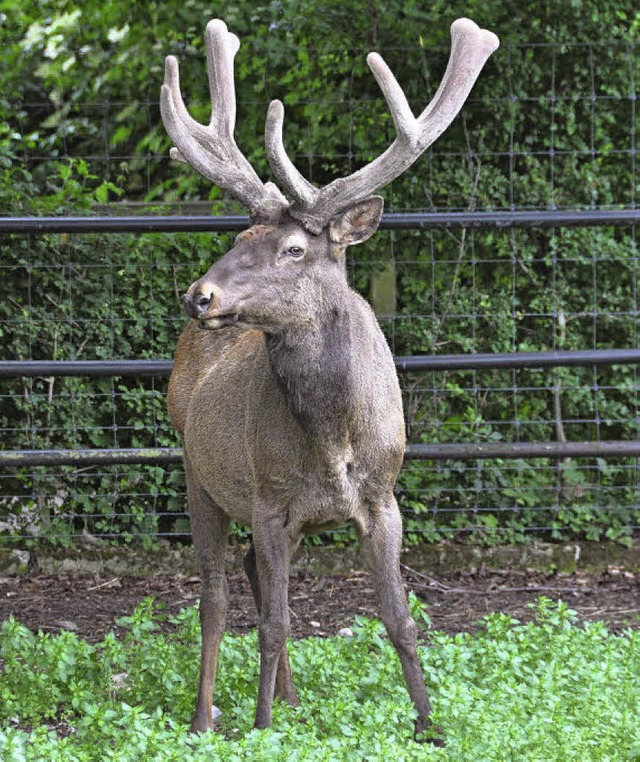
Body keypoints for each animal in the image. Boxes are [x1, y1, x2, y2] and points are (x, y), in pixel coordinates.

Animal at [161, 16, 500, 744]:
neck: (331, 441)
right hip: (198, 472)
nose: (200, 295)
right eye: (239, 238)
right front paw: (260, 727)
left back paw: (291, 701)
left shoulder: (383, 497)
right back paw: (206, 717)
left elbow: (401, 619)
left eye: (294, 248)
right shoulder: (268, 498)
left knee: (253, 577)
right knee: (215, 597)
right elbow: (271, 623)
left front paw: (430, 725)